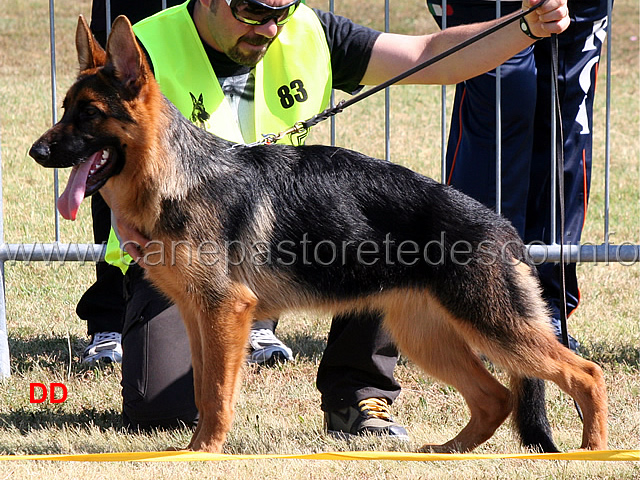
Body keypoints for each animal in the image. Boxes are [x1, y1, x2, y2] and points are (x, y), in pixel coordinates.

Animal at [30, 15, 608, 454]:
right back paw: (448, 452)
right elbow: (200, 388)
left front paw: (204, 452)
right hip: (430, 337)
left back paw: (592, 450)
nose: (36, 152)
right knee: (496, 398)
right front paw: (196, 447)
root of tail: (502, 225)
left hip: (492, 326)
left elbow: (216, 393)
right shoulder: (201, 318)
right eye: (64, 110)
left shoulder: (225, 312)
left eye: (90, 114)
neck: (179, 174)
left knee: (585, 373)